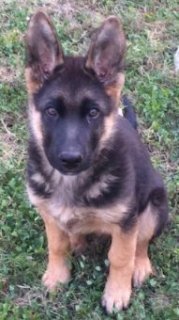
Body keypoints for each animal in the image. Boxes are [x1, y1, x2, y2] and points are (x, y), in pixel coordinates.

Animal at [24, 11, 168, 312]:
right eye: (51, 111)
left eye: (93, 113)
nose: (70, 160)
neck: (72, 182)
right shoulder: (48, 213)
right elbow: (56, 245)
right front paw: (57, 275)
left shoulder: (126, 222)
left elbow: (121, 256)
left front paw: (117, 292)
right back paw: (77, 239)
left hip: (154, 207)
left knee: (142, 242)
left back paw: (141, 265)